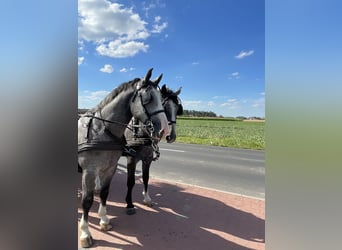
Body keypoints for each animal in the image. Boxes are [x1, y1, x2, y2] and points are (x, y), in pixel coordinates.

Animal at [77, 68, 169, 248]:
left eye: (161, 99)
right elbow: (87, 200)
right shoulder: (89, 171)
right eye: (148, 98)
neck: (102, 130)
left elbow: (104, 193)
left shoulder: (109, 168)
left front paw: (104, 220)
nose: (165, 129)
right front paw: (85, 233)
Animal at [123, 85, 182, 214]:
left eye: (177, 109)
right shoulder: (131, 159)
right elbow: (130, 181)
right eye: (164, 107)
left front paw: (147, 199)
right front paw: (129, 204)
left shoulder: (147, 159)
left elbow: (146, 178)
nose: (171, 136)